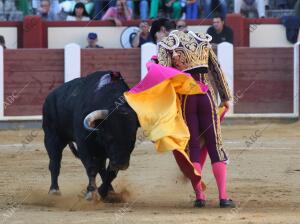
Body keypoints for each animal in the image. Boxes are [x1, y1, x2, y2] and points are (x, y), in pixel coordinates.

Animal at [42, 71, 139, 199]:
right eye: (110, 137)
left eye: (132, 139)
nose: (121, 164)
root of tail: (50, 96)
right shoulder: (84, 145)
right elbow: (91, 168)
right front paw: (91, 193)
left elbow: (110, 172)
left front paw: (104, 192)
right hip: (52, 137)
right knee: (54, 163)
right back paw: (54, 190)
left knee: (101, 168)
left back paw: (110, 190)